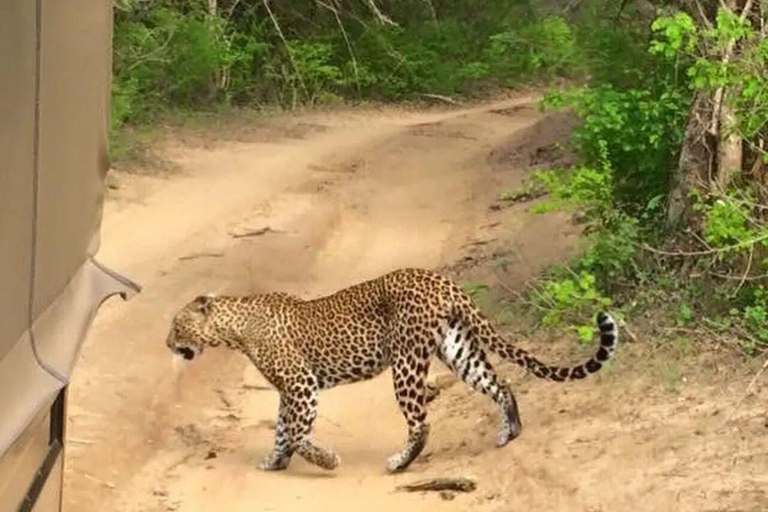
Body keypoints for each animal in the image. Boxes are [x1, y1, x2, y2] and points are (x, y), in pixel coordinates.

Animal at [166, 268, 616, 472]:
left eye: (176, 325)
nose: (167, 344)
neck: (235, 329)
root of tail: (442, 280)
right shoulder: (289, 390)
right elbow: (281, 429)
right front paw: (275, 462)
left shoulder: (301, 384)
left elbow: (295, 431)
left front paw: (325, 460)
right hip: (458, 348)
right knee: (501, 383)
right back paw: (510, 433)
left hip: (406, 362)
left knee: (421, 423)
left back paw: (399, 463)